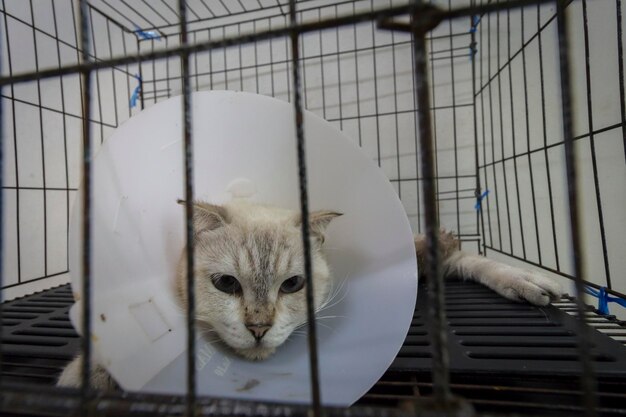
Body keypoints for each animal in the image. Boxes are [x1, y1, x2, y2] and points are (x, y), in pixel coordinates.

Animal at [56, 200, 560, 388]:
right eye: (226, 284)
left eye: (293, 285)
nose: (258, 328)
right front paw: (88, 374)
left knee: (459, 256)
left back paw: (534, 283)